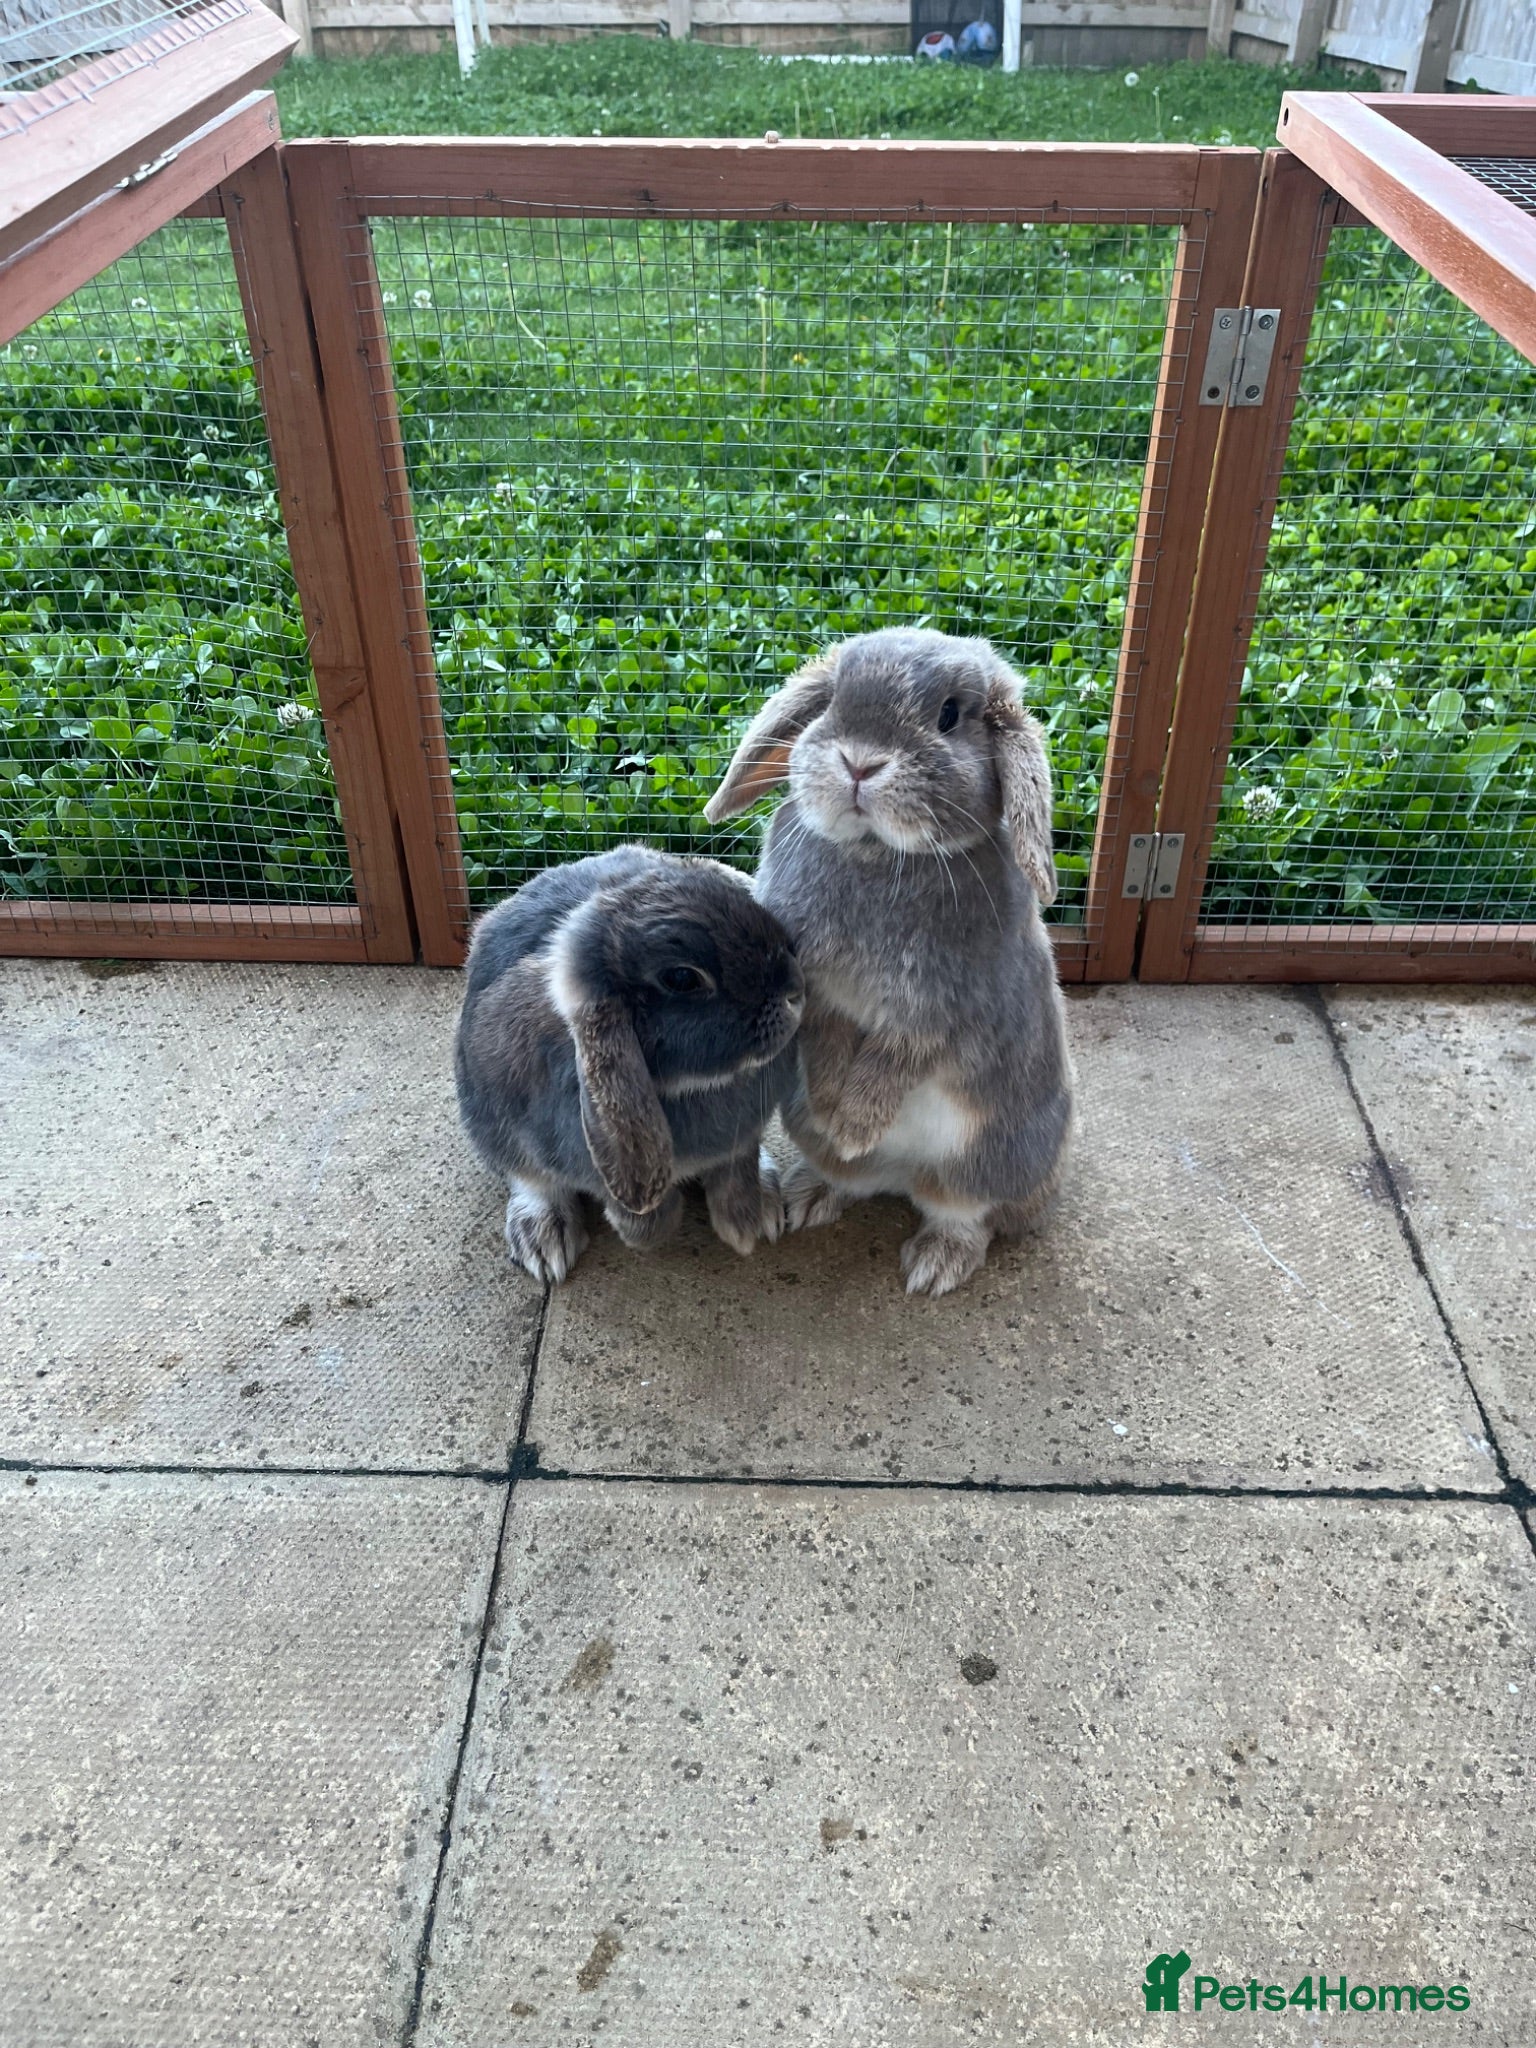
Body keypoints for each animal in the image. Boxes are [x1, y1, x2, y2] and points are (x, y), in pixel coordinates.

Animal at [456, 845, 805, 1286]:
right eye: (682, 978)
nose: (795, 991)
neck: (693, 1085)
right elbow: (645, 1216)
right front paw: (642, 1225)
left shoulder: (743, 1135)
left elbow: (738, 1165)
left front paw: (747, 1224)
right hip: (485, 1114)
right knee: (526, 1176)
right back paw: (544, 1238)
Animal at [704, 627, 1073, 1298]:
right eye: (832, 701)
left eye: (950, 715)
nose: (860, 762)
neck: (878, 854)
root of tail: (905, 1175)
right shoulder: (813, 993)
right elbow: (826, 1040)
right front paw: (834, 1114)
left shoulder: (940, 1009)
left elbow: (896, 1059)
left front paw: (854, 1126)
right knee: (854, 1181)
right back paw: (811, 1192)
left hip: (987, 1161)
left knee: (966, 1216)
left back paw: (934, 1265)